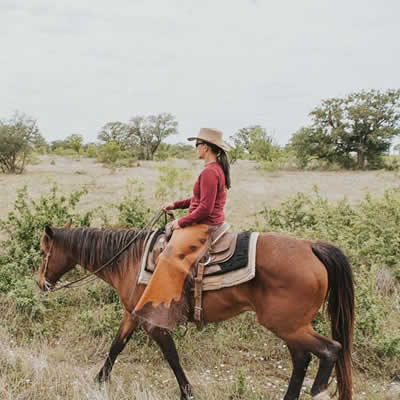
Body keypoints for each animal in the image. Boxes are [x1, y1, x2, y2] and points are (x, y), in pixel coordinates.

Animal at [35, 225, 354, 400]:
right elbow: (116, 346)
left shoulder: (152, 322)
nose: (40, 283)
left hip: (289, 326)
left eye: (42, 252)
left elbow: (172, 357)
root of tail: (311, 247)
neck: (130, 260)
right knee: (302, 359)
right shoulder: (132, 315)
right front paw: (98, 381)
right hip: (292, 327)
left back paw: (318, 390)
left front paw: (188, 392)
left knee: (330, 349)